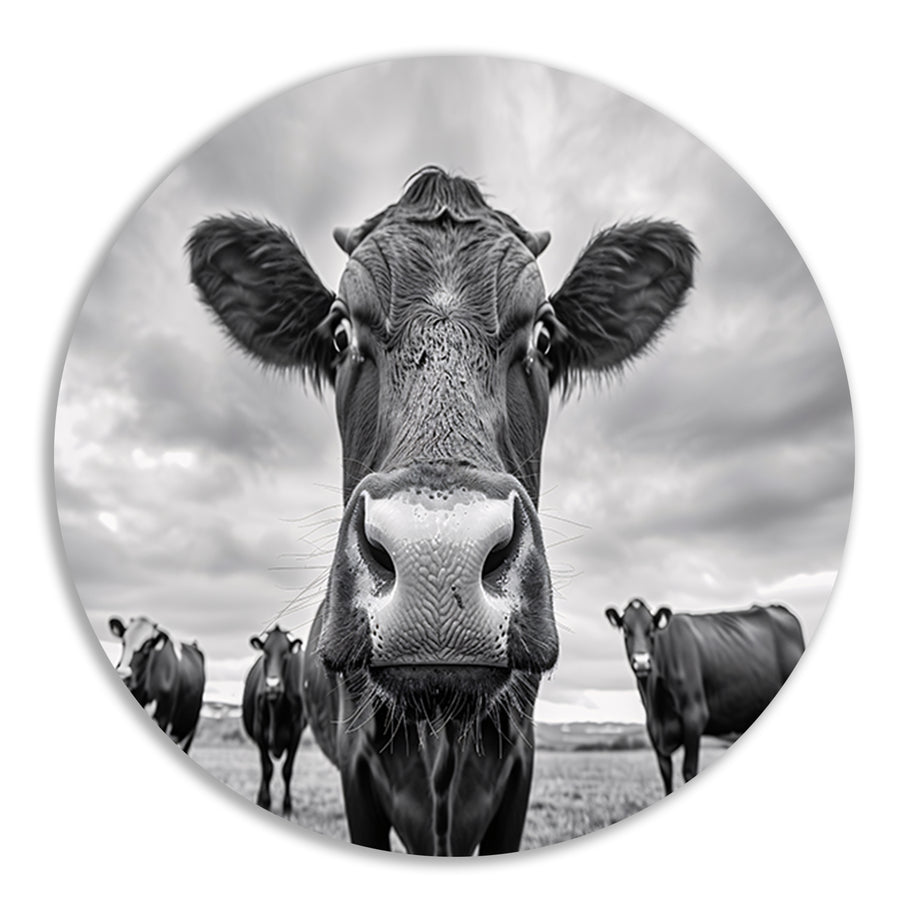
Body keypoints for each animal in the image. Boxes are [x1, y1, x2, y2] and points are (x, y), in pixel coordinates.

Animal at [242, 626, 306, 816]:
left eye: (286, 654)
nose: (272, 685)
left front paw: (287, 807)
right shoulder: (259, 730)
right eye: (265, 652)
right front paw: (265, 802)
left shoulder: (296, 731)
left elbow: (287, 770)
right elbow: (267, 768)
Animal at [605, 598, 805, 794]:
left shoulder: (694, 718)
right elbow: (666, 775)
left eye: (651, 628)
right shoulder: (654, 732)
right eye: (626, 629)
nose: (641, 662)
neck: (657, 703)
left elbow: (689, 770)